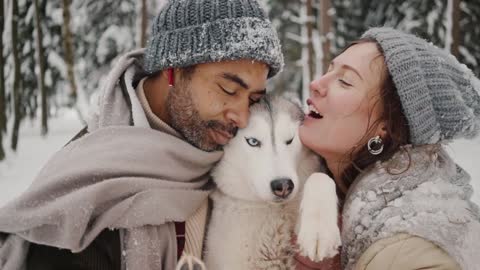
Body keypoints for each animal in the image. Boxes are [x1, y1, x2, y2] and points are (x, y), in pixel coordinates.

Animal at [198, 96, 342, 268]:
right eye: (253, 141)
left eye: (290, 140)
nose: (283, 185)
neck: (272, 210)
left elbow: (320, 177)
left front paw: (319, 232)